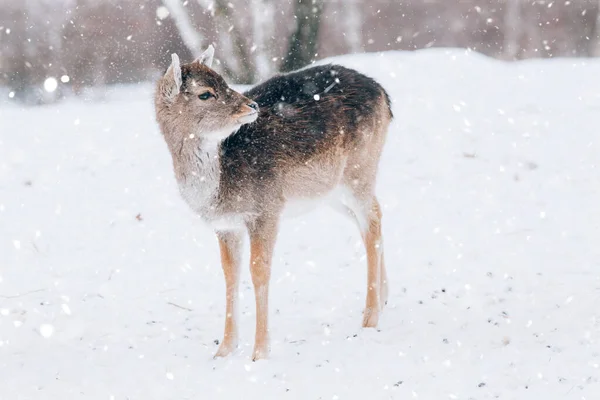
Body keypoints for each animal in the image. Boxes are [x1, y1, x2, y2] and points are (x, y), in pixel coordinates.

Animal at [156, 45, 394, 360]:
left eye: (223, 80)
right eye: (205, 93)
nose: (252, 105)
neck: (219, 190)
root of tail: (384, 95)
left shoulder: (266, 208)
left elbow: (259, 270)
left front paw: (259, 352)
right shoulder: (225, 225)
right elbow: (230, 274)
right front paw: (224, 350)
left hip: (360, 169)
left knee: (372, 222)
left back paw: (370, 318)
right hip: (331, 191)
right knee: (374, 215)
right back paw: (384, 299)